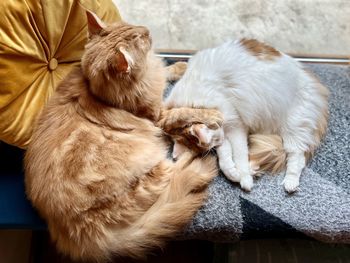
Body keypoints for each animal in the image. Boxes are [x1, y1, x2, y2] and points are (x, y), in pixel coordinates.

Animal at [26, 11, 221, 262]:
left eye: (132, 27)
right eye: (139, 38)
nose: (147, 30)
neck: (100, 94)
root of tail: (79, 235)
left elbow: (165, 71)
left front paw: (179, 66)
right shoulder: (158, 115)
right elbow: (183, 111)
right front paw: (212, 115)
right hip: (149, 160)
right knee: (175, 172)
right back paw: (199, 157)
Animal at [163, 40, 330, 195]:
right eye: (212, 145)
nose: (219, 141)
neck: (195, 103)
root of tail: (315, 86)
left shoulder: (236, 126)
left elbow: (240, 155)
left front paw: (244, 179)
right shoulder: (226, 131)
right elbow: (225, 160)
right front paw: (234, 174)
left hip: (292, 127)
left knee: (297, 157)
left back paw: (289, 183)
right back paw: (254, 168)